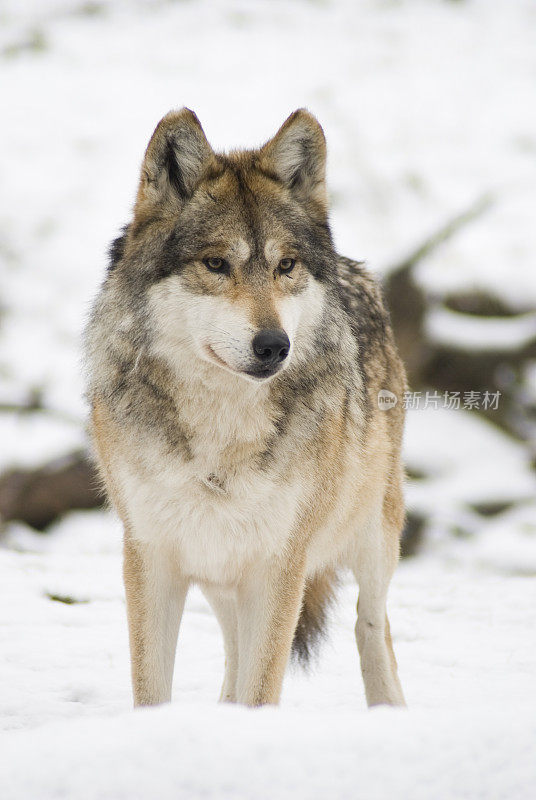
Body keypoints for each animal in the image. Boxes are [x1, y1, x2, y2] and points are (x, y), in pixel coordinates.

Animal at [85, 106, 406, 708]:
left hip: (373, 534)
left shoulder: (280, 565)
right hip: (220, 573)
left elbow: (263, 689)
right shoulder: (152, 558)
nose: (274, 345)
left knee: (371, 624)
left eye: (286, 265)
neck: (221, 434)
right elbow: (152, 690)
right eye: (216, 264)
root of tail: (356, 269)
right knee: (235, 651)